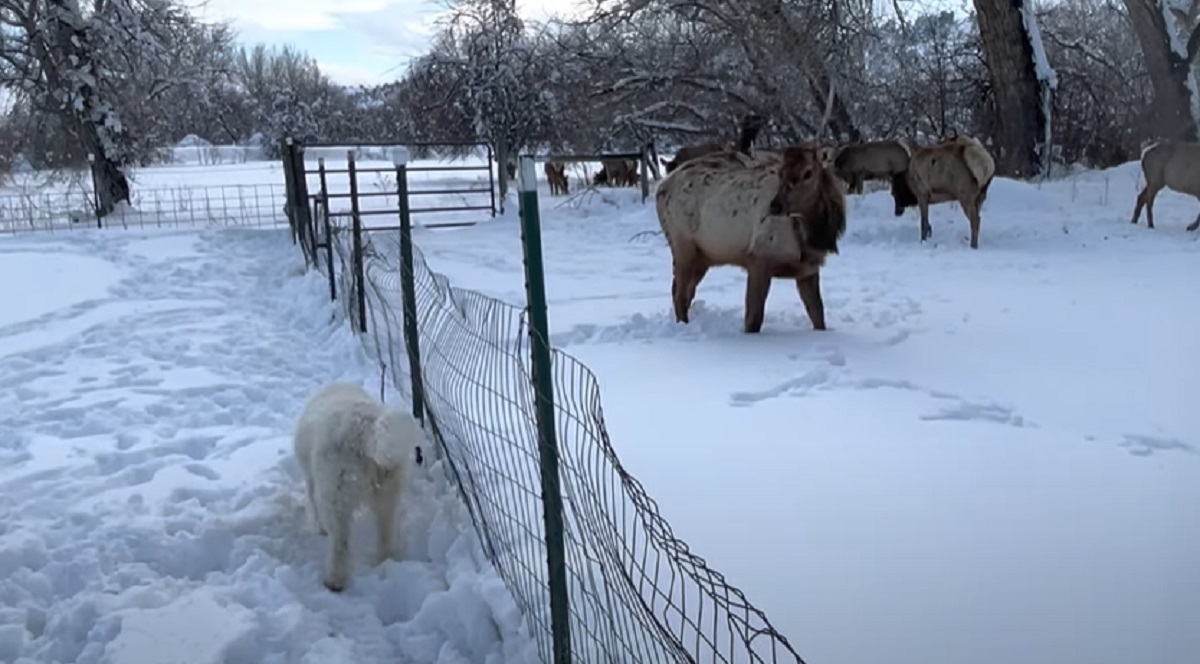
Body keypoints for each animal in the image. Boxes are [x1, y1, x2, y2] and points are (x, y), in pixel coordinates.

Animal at [292, 379, 424, 593]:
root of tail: (366, 428)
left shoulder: (312, 482)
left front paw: (320, 530)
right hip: (387, 494)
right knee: (385, 532)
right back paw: (384, 561)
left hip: (337, 497)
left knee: (341, 543)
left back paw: (335, 581)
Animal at [657, 144, 844, 331]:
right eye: (780, 173)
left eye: (808, 173)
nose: (775, 206)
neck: (811, 238)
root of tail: (661, 187)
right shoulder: (758, 258)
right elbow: (753, 320)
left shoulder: (808, 268)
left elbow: (818, 314)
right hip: (682, 245)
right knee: (679, 293)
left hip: (704, 256)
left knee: (685, 291)